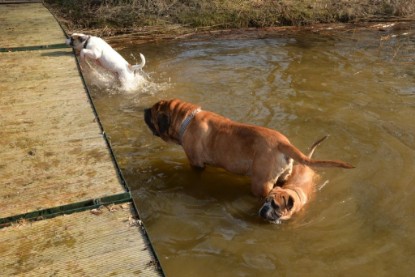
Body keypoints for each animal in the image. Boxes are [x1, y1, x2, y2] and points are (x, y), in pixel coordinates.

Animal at [144, 98, 354, 197]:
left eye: (152, 113)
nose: (144, 110)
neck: (186, 119)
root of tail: (283, 143)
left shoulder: (196, 163)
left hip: (261, 183)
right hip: (283, 175)